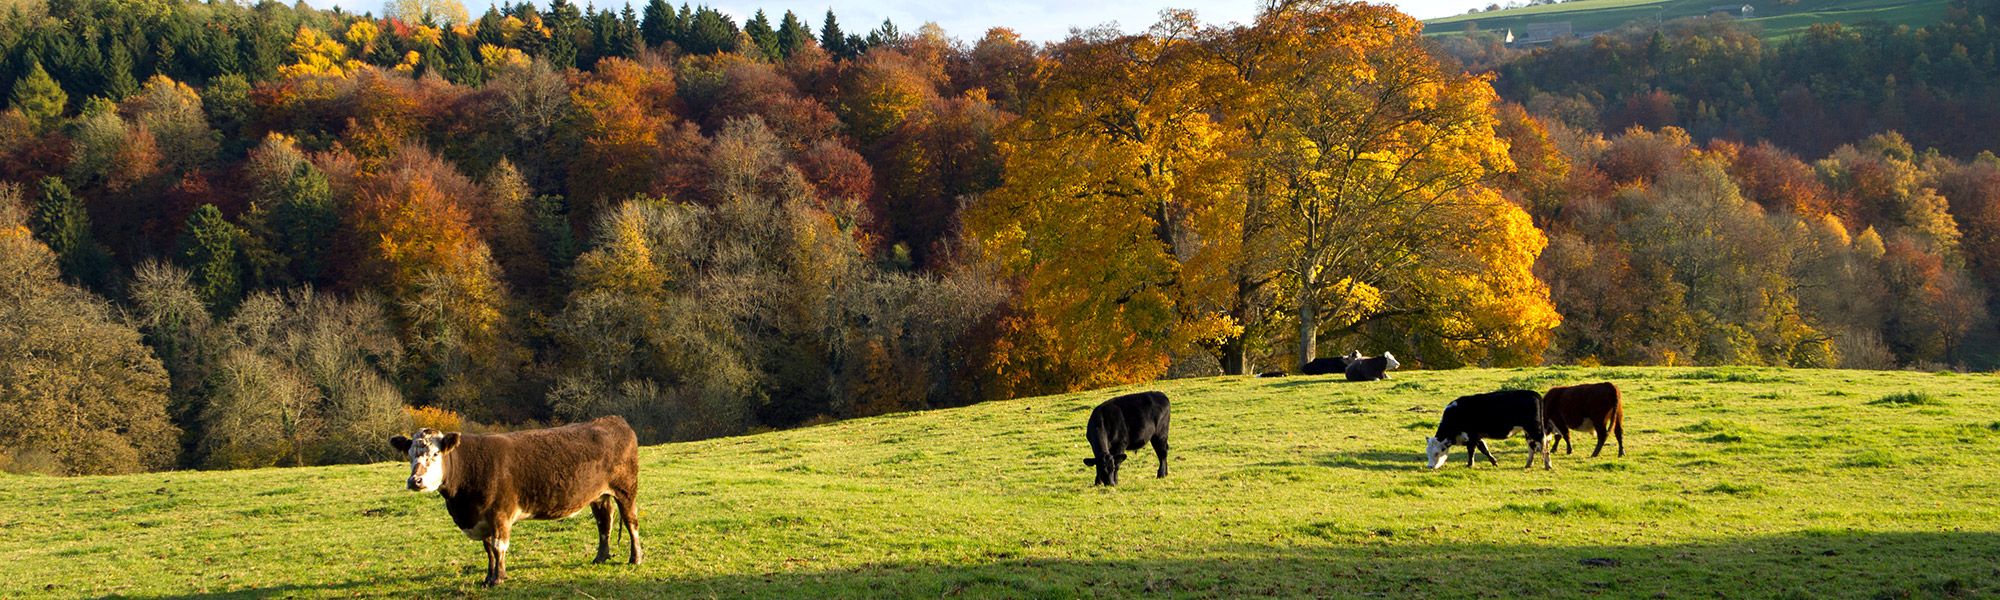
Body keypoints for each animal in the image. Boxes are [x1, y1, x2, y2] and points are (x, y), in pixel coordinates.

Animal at [388, 418, 640, 584]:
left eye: (435, 454)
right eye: (409, 455)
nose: (415, 481)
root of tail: (613, 420)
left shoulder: (500, 513)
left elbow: (499, 546)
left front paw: (498, 579)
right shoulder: (482, 518)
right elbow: (488, 549)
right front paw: (488, 577)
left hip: (626, 489)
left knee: (631, 522)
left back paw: (635, 558)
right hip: (598, 495)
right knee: (604, 522)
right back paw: (601, 557)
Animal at [1416, 392, 1552, 472]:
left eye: (1438, 452)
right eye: (1428, 452)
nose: (1429, 466)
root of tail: (1535, 394)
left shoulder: (1471, 435)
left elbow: (1471, 450)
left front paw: (1470, 464)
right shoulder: (1477, 436)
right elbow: (1484, 449)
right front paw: (1494, 462)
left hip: (1535, 430)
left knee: (1544, 445)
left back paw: (1547, 465)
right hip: (1528, 432)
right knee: (1532, 446)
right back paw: (1528, 464)